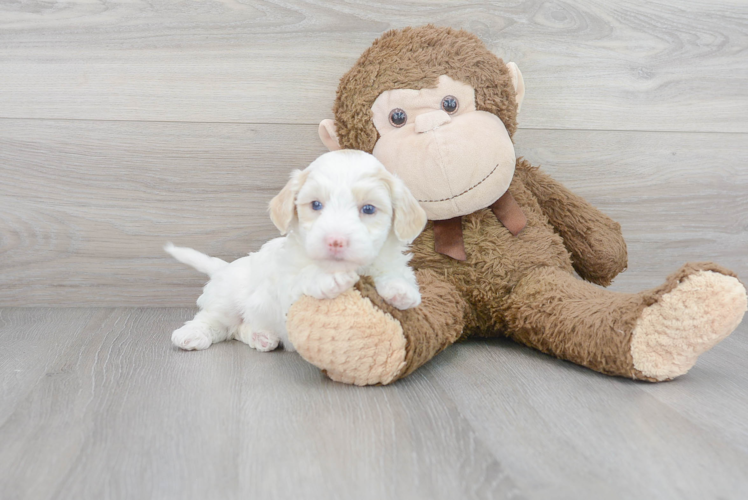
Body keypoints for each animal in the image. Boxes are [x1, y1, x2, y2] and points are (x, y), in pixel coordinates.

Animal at [167, 148, 430, 352]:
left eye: (368, 209)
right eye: (316, 205)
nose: (335, 241)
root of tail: (225, 268)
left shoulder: (390, 262)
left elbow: (396, 275)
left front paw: (401, 291)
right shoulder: (286, 287)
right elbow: (304, 278)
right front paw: (329, 280)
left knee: (237, 328)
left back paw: (261, 337)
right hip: (227, 299)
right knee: (215, 320)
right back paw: (191, 334)